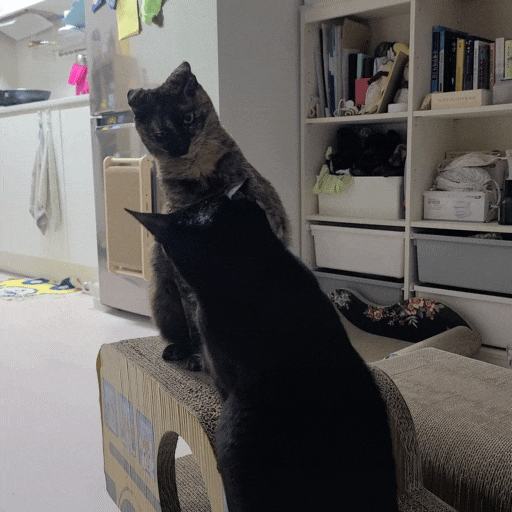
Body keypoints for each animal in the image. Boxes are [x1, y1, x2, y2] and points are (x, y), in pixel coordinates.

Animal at [127, 61, 290, 370]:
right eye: (160, 133)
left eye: (188, 118)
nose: (180, 147)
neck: (199, 179)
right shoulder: (184, 278)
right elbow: (195, 323)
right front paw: (199, 358)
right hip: (161, 295)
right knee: (179, 333)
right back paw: (179, 351)